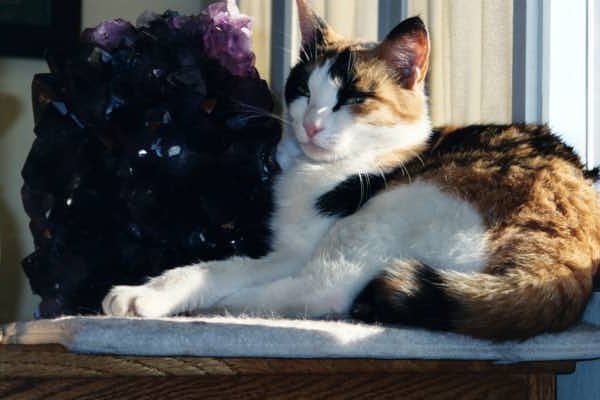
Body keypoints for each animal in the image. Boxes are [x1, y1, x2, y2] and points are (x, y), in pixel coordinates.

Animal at [101, 0, 596, 340]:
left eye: (353, 97)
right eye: (303, 89)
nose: (310, 123)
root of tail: (571, 246)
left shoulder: (296, 251)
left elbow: (221, 268)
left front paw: (146, 295)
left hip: (396, 206)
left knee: (322, 292)